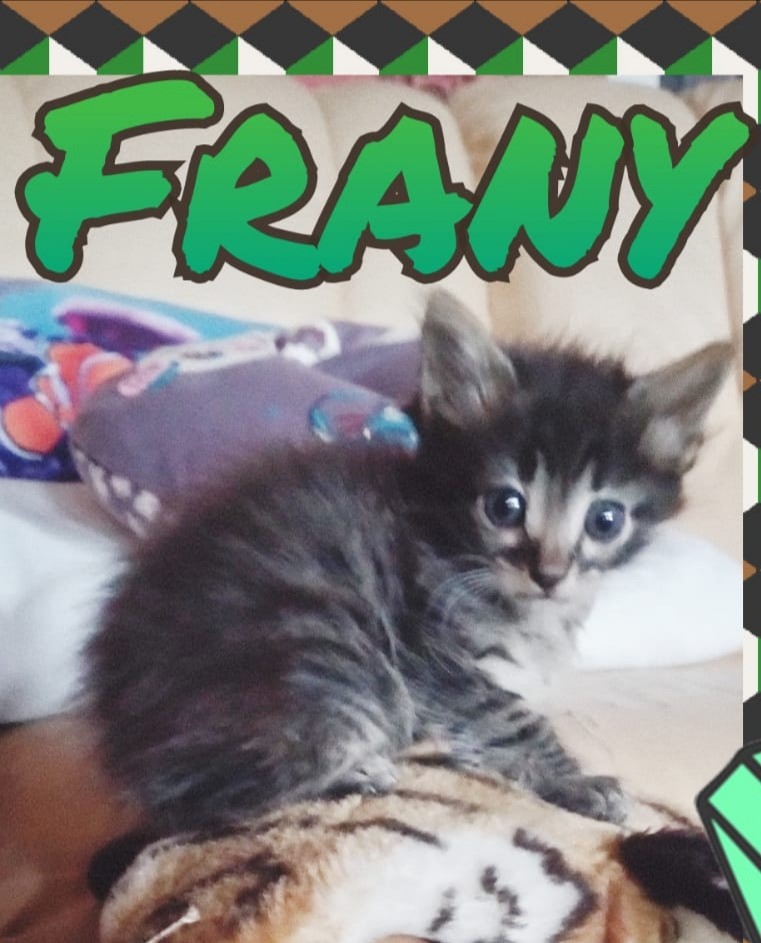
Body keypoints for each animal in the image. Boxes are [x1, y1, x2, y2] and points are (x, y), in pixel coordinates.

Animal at [86, 291, 731, 835]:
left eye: (605, 520)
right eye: (504, 506)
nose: (549, 574)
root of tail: (123, 735)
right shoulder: (432, 652)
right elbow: (509, 716)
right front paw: (576, 782)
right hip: (328, 650)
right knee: (205, 800)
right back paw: (356, 770)